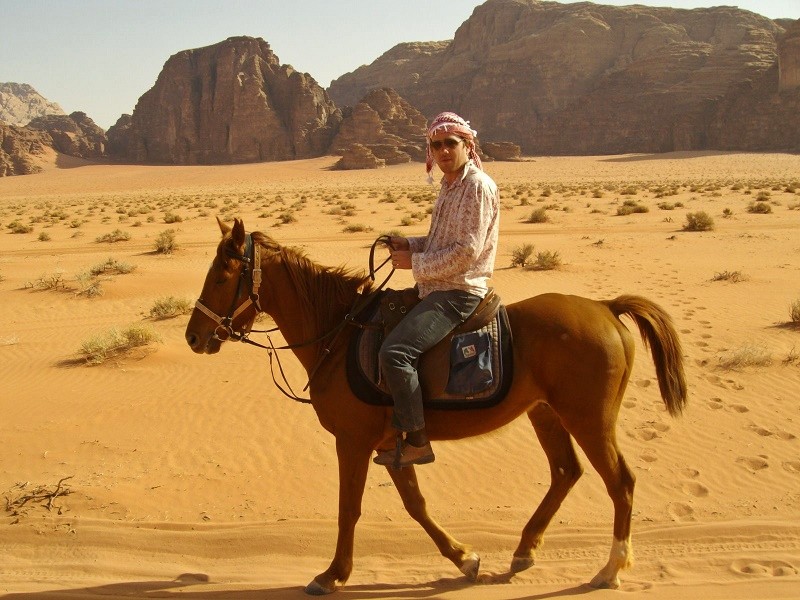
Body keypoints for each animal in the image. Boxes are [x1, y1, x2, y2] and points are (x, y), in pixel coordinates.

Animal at [184, 218, 684, 592]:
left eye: (221, 277)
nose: (193, 336)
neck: (338, 334)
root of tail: (606, 308)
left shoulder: (353, 441)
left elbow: (350, 507)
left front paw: (332, 575)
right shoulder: (392, 444)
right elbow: (416, 505)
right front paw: (464, 559)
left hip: (589, 419)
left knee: (620, 482)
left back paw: (611, 569)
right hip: (546, 413)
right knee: (566, 471)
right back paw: (524, 550)